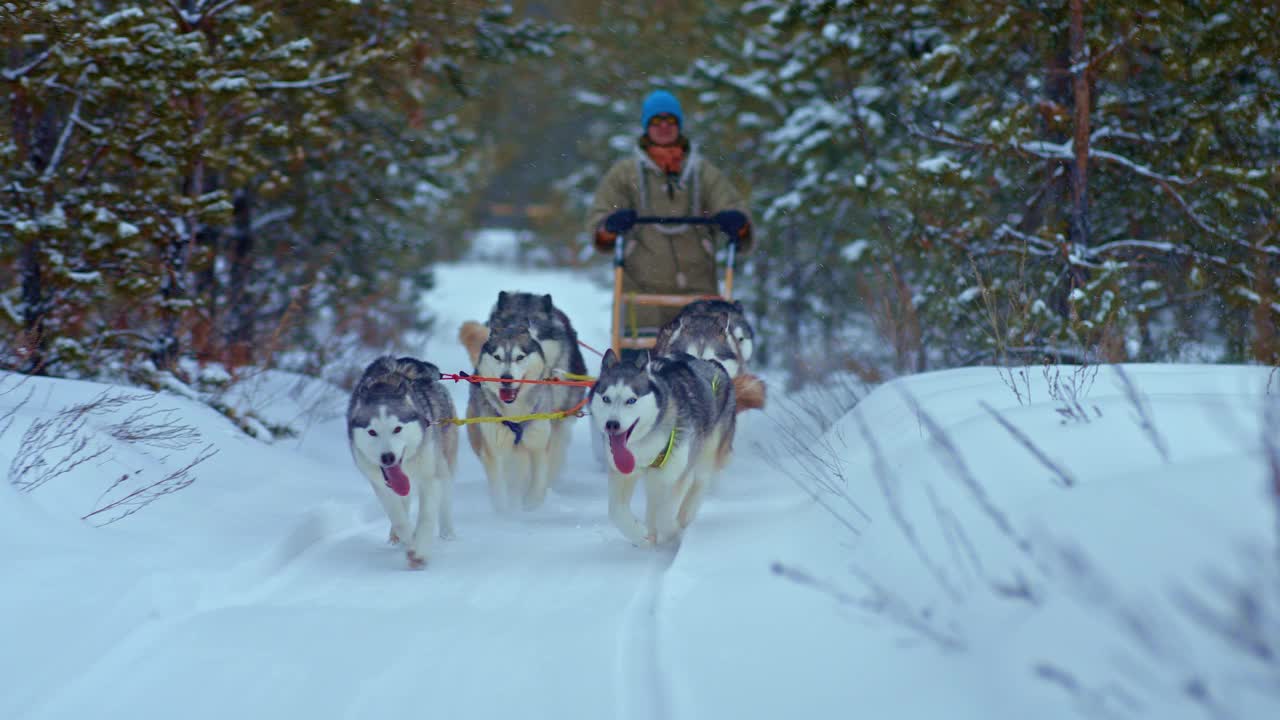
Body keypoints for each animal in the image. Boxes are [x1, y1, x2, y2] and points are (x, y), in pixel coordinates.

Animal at [350, 356, 460, 568]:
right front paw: (409, 540)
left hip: (443, 461)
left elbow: (426, 517)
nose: (388, 457)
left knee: (445, 496)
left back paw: (448, 533)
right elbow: (399, 519)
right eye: (372, 432)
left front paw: (420, 551)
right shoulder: (381, 485)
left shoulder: (429, 477)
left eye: (397, 429)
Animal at [460, 325, 560, 509]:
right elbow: (499, 489)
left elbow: (538, 481)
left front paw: (531, 505)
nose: (506, 378)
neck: (515, 414)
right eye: (497, 357)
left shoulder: (539, 447)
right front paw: (505, 512)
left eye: (519, 357)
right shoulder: (494, 452)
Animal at [586, 348, 732, 543]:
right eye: (606, 398)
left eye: (631, 400)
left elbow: (665, 516)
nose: (612, 424)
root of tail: (710, 362)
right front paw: (640, 535)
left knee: (699, 484)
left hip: (705, 456)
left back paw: (685, 517)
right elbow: (616, 512)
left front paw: (674, 533)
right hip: (655, 478)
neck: (646, 443)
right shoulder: (623, 473)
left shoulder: (679, 476)